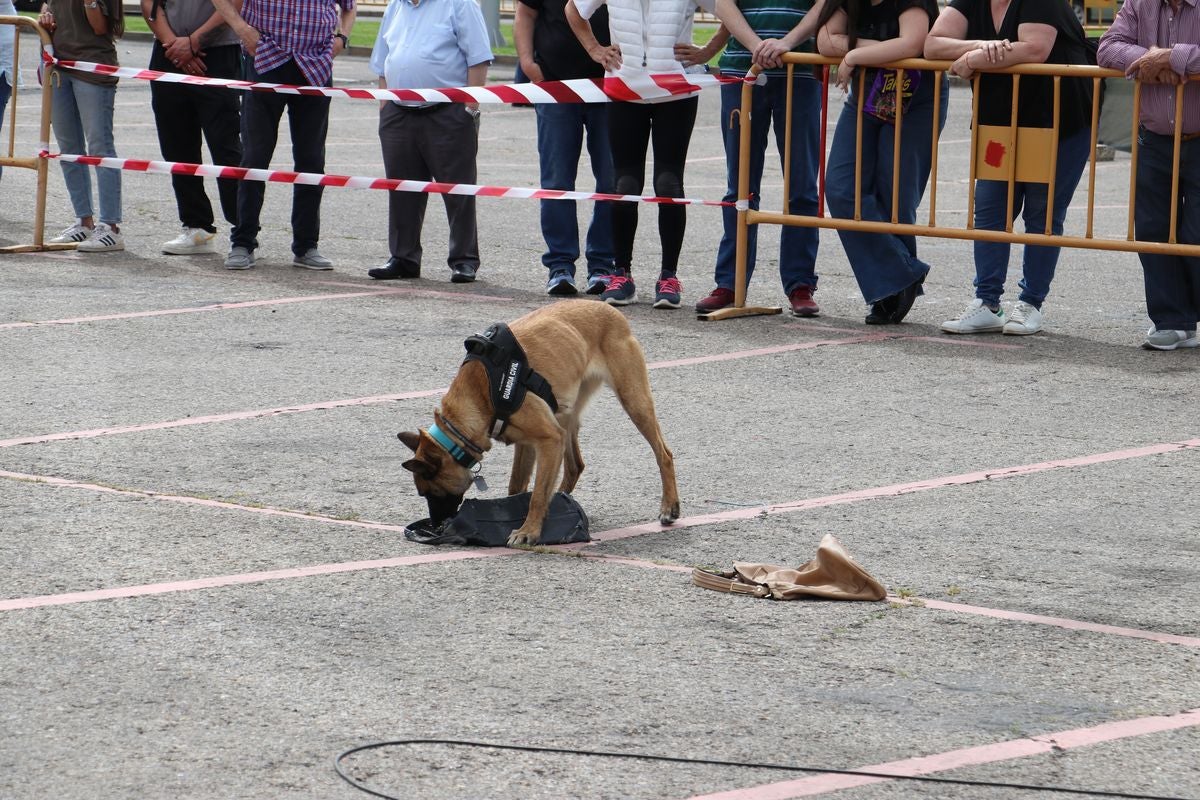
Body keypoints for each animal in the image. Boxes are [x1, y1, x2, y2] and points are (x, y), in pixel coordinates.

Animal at [398, 297, 681, 546]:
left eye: (430, 492)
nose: (437, 525)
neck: (480, 392)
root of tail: (609, 310)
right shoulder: (528, 443)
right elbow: (518, 486)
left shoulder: (548, 439)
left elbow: (536, 494)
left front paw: (528, 531)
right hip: (566, 418)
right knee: (575, 465)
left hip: (633, 402)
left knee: (664, 453)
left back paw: (669, 506)